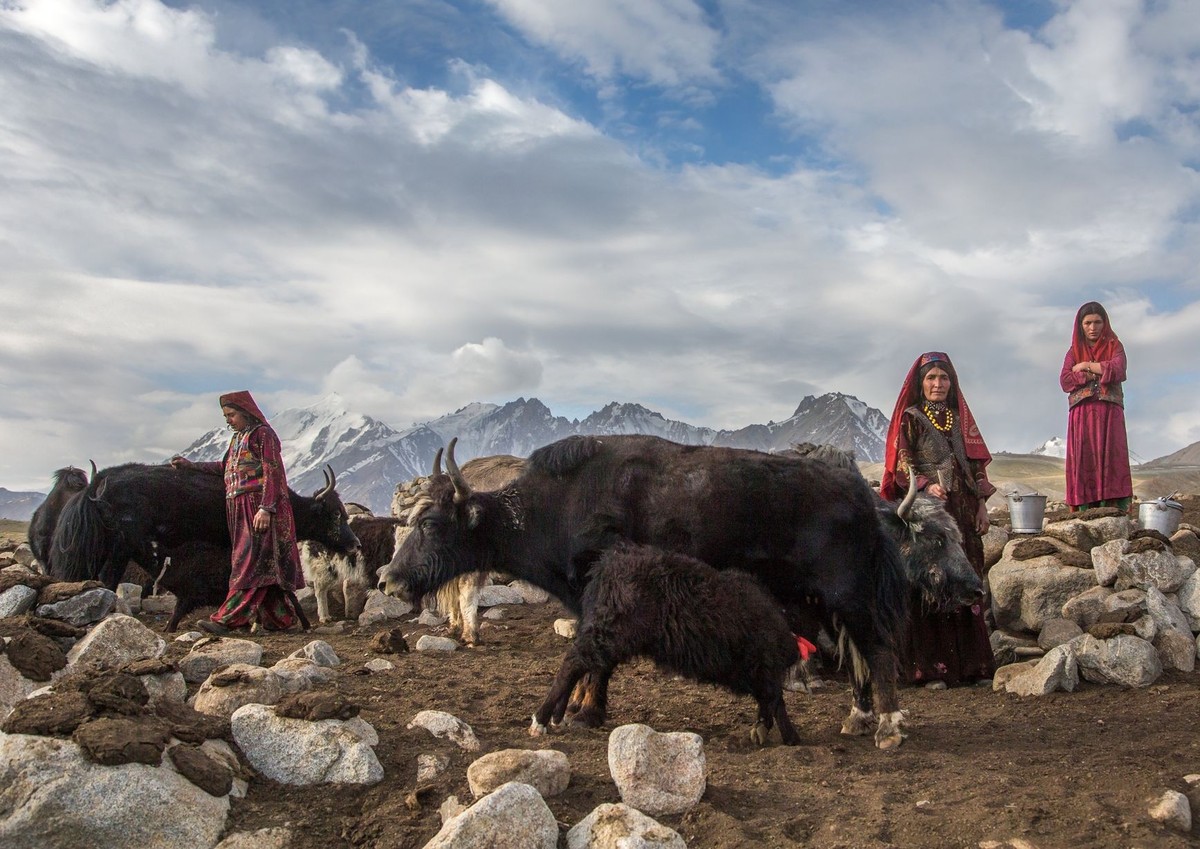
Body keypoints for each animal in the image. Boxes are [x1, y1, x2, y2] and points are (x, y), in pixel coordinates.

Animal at [530, 539, 801, 748]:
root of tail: (608, 563)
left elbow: (771, 698)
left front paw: (766, 730)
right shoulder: (764, 664)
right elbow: (775, 698)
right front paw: (789, 736)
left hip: (605, 635)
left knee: (582, 665)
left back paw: (561, 716)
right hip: (609, 634)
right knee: (573, 663)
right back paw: (540, 721)